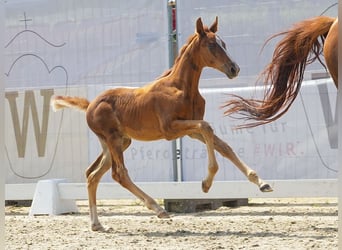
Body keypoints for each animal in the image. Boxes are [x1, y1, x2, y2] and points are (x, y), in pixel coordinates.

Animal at [52, 17, 272, 232]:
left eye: (223, 43)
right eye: (211, 45)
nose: (234, 68)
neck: (181, 88)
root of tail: (90, 105)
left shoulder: (189, 130)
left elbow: (224, 146)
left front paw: (262, 183)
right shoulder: (170, 129)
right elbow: (206, 127)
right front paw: (206, 184)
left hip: (118, 142)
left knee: (92, 175)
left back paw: (96, 224)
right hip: (113, 139)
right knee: (119, 174)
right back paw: (158, 209)